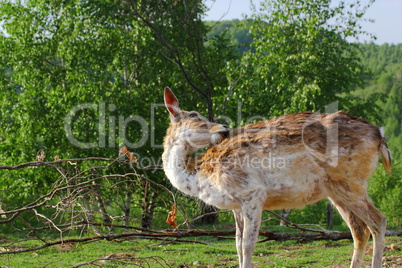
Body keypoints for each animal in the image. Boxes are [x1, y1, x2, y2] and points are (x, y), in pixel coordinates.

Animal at [162, 87, 392, 266]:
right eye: (194, 115)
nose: (224, 128)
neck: (201, 177)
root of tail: (380, 136)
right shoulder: (236, 205)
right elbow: (237, 244)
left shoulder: (252, 193)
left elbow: (247, 245)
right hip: (337, 190)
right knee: (360, 231)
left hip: (350, 181)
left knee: (378, 221)